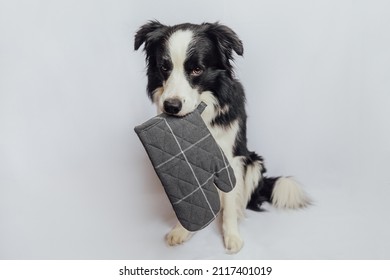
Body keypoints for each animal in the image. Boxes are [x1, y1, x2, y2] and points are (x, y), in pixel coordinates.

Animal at [136, 21, 310, 254]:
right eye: (165, 67)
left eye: (197, 69)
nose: (171, 106)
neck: (202, 115)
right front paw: (183, 230)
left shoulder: (231, 158)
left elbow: (229, 203)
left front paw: (232, 236)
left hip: (253, 162)